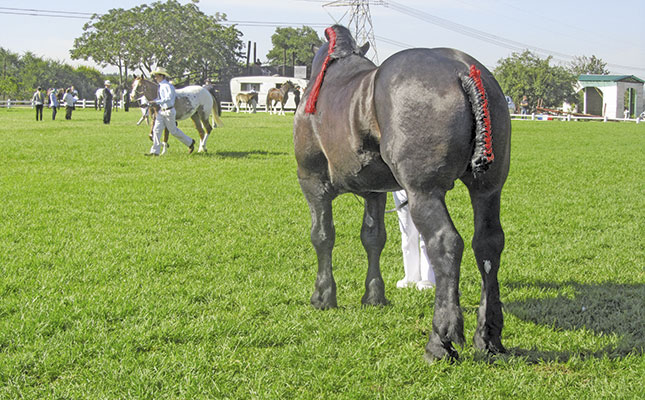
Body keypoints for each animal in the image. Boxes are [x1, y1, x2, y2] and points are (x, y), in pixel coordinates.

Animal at [294, 25, 510, 362]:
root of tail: (464, 69)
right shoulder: (375, 191)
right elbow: (373, 238)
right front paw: (374, 295)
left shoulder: (313, 183)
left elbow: (322, 236)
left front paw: (323, 295)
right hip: (488, 191)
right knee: (487, 245)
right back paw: (488, 336)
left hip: (424, 192)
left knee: (446, 243)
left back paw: (440, 340)